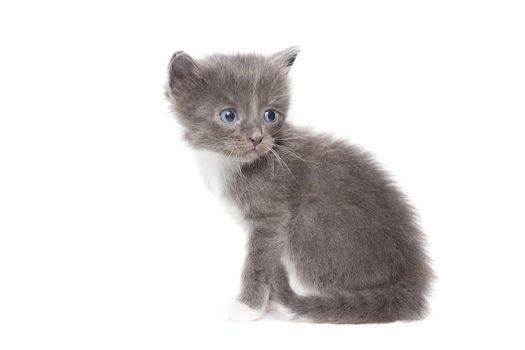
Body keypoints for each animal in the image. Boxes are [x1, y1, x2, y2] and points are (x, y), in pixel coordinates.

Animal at [168, 47, 434, 324]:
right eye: (228, 115)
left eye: (270, 114)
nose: (257, 138)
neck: (231, 162)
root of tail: (411, 278)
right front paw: (266, 304)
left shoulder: (272, 217)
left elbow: (259, 261)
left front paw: (248, 307)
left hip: (310, 221)